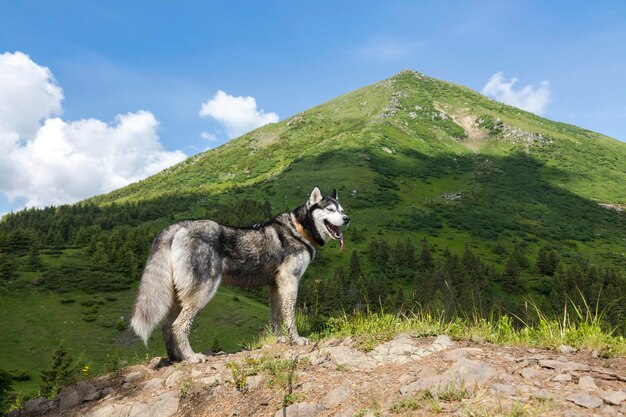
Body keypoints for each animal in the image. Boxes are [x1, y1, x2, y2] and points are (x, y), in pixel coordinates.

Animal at [130, 187, 348, 362]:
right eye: (330, 210)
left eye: (342, 210)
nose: (347, 219)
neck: (299, 229)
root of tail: (178, 226)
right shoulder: (290, 281)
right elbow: (290, 316)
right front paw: (295, 339)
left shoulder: (275, 286)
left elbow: (275, 317)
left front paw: (280, 339)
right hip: (202, 293)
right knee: (178, 326)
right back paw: (191, 357)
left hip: (179, 297)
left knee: (166, 326)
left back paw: (176, 358)